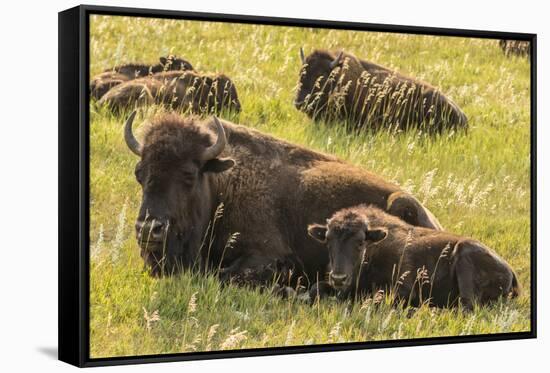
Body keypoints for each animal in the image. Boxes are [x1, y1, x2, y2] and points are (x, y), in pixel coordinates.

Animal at [310, 203, 520, 308]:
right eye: (327, 240)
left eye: (360, 242)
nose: (339, 278)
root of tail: (510, 271)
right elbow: (315, 288)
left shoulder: (402, 288)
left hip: (465, 256)